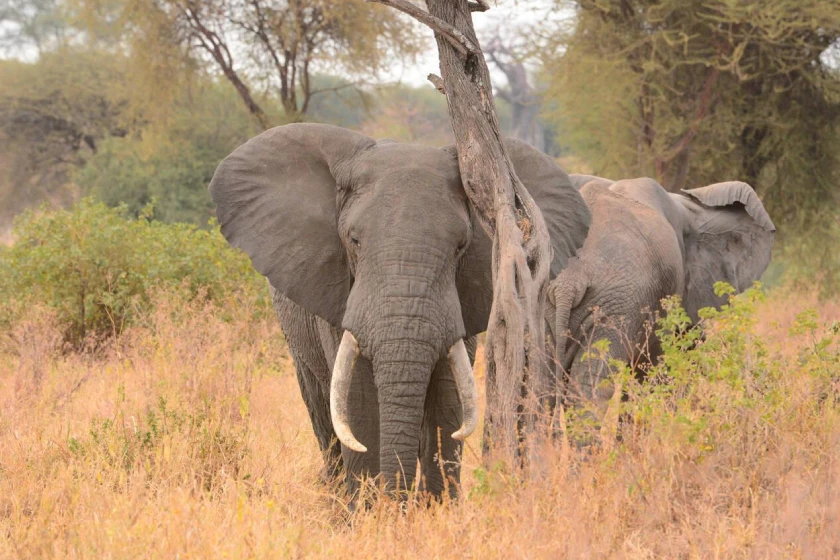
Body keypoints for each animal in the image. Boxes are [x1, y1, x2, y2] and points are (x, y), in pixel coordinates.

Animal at [208, 123, 591, 499]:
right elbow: (358, 401)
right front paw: (371, 510)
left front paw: (436, 509)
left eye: (461, 246)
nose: (398, 502)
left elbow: (448, 400)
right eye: (354, 241)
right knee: (321, 410)